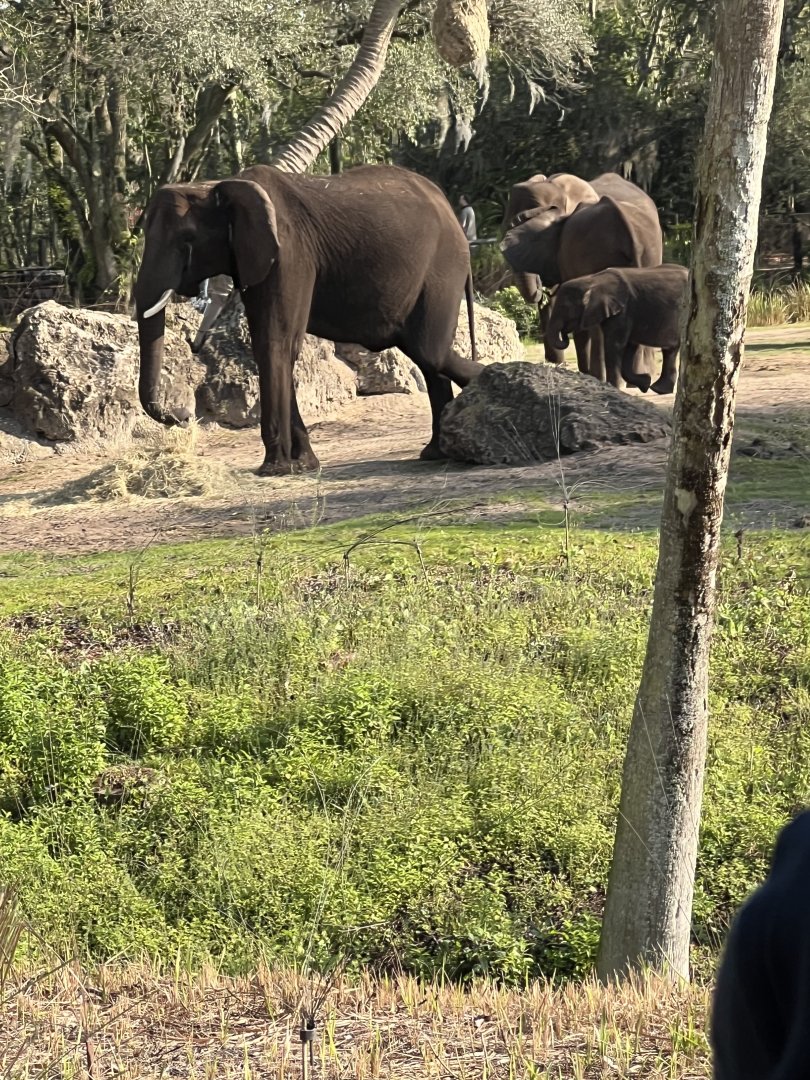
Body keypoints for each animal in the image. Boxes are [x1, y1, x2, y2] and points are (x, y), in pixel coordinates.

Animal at [134, 164, 481, 475]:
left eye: (187, 239)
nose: (181, 417)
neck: (217, 186)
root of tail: (448, 207)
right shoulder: (258, 259)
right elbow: (270, 346)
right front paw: (303, 466)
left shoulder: (290, 255)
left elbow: (277, 343)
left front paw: (275, 469)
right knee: (426, 354)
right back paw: (435, 452)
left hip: (444, 266)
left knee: (429, 350)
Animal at [544, 265, 689, 395]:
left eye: (565, 307)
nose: (565, 333)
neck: (592, 280)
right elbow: (629, 347)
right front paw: (645, 383)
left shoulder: (623, 311)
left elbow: (615, 345)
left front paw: (614, 387)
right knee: (670, 351)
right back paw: (658, 389)